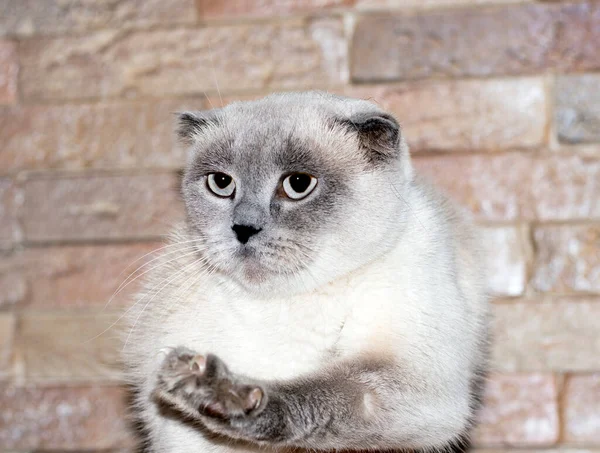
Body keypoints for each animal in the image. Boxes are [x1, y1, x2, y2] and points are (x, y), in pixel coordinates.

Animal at [123, 90, 492, 450]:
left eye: (298, 184)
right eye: (221, 183)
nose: (243, 228)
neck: (289, 305)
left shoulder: (412, 380)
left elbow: (309, 393)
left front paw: (225, 395)